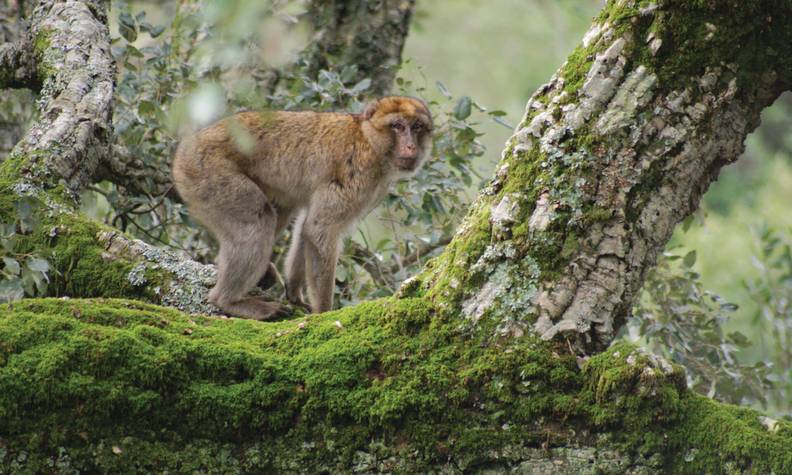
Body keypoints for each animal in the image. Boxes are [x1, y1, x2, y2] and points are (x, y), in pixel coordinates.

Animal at [172, 96, 434, 320]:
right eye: (397, 126)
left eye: (417, 127)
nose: (411, 147)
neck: (370, 141)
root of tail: (182, 152)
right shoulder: (357, 174)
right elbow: (320, 230)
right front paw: (323, 314)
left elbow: (306, 227)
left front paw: (294, 292)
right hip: (210, 173)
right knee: (258, 219)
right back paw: (229, 301)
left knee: (281, 209)